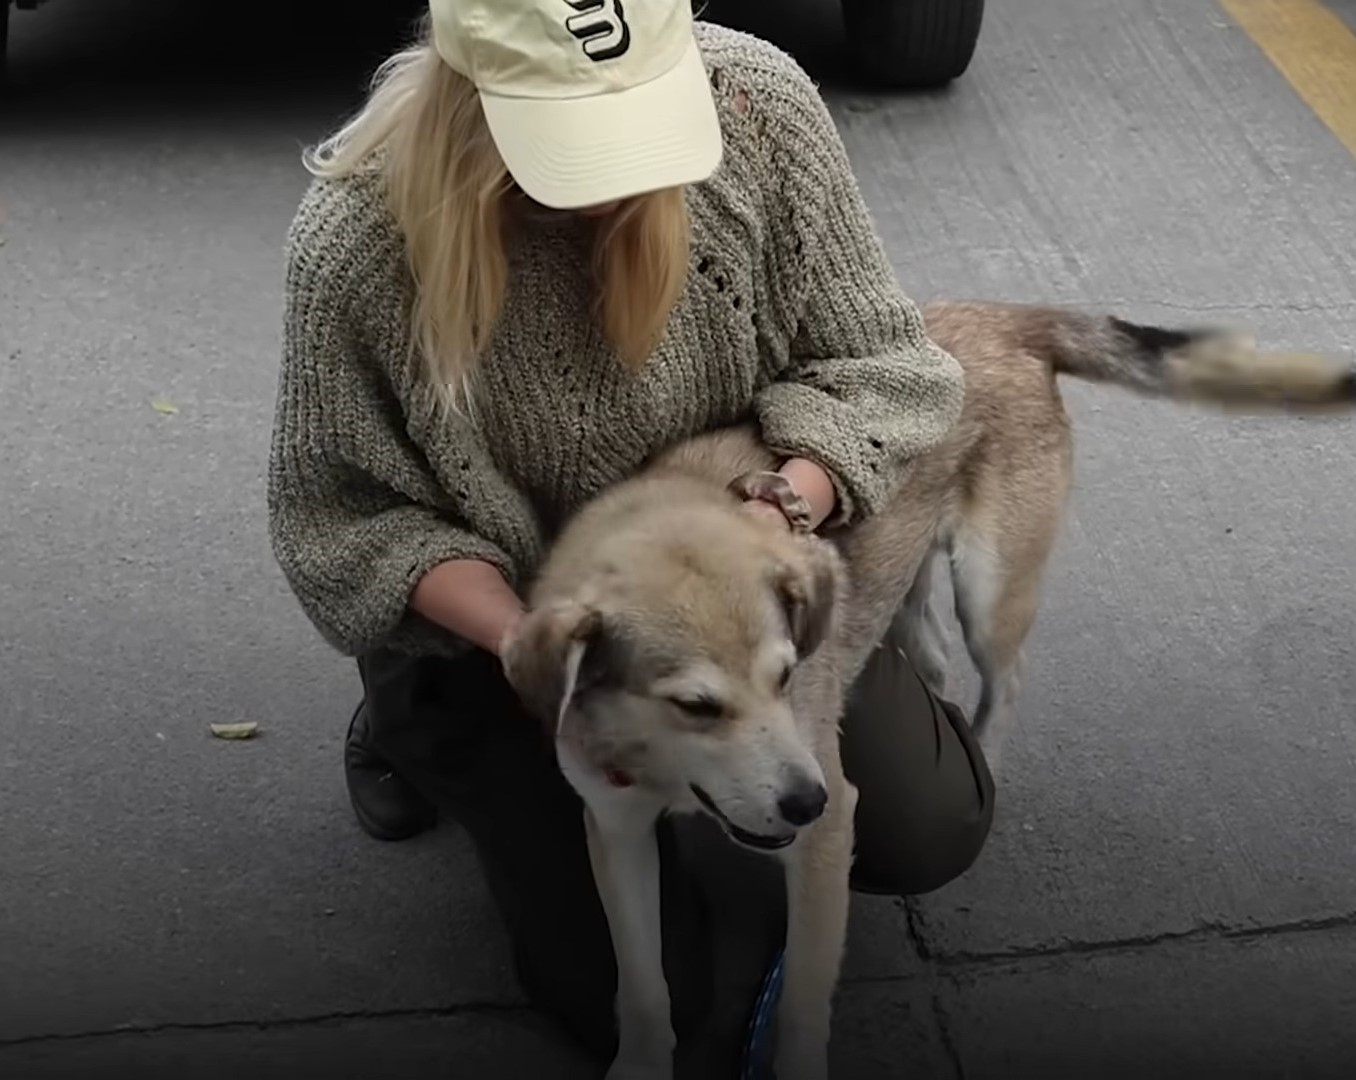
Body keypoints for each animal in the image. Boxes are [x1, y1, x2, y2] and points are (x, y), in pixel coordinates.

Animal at [504, 301, 1350, 1080]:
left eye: (785, 675)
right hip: (909, 593)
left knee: (1004, 678)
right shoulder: (616, 831)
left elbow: (802, 1008)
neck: (660, 768)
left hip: (990, 589)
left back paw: (985, 755)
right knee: (936, 660)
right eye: (696, 706)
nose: (807, 802)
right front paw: (640, 1065)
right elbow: (644, 987)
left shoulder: (825, 845)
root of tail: (1006, 316)